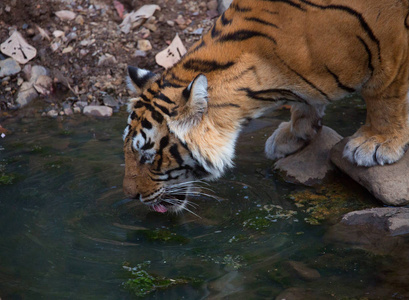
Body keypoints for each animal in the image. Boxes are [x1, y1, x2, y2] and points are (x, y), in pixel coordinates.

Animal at [122, 0, 408, 213]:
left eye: (148, 157)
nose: (130, 195)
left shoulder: (392, 46)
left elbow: (385, 95)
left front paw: (377, 142)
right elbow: (307, 101)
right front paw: (296, 133)